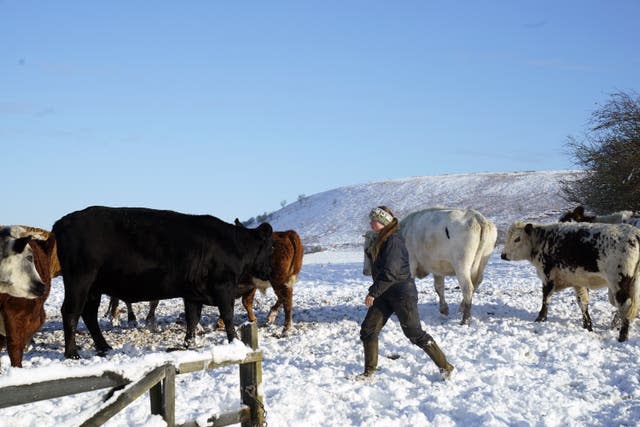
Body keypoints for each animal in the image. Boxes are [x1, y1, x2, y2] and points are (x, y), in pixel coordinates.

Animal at [53, 206, 274, 360]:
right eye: (272, 247)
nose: (270, 271)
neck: (235, 246)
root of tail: (63, 221)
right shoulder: (223, 286)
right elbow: (227, 316)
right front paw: (234, 341)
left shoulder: (193, 294)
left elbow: (192, 319)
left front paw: (188, 345)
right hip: (80, 281)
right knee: (71, 312)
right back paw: (72, 353)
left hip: (93, 288)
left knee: (89, 314)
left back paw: (104, 347)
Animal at [362, 207, 498, 324]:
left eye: (367, 250)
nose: (365, 271)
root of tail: (476, 217)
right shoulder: (437, 268)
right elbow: (439, 288)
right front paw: (444, 309)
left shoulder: (410, 263)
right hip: (481, 263)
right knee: (477, 282)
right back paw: (462, 307)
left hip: (462, 266)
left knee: (468, 288)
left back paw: (465, 319)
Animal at [500, 221, 640, 342]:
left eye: (517, 238)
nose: (503, 255)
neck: (543, 241)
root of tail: (635, 233)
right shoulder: (578, 282)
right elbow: (582, 302)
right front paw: (587, 325)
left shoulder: (548, 276)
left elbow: (546, 298)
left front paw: (540, 318)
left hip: (620, 283)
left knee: (625, 306)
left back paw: (622, 336)